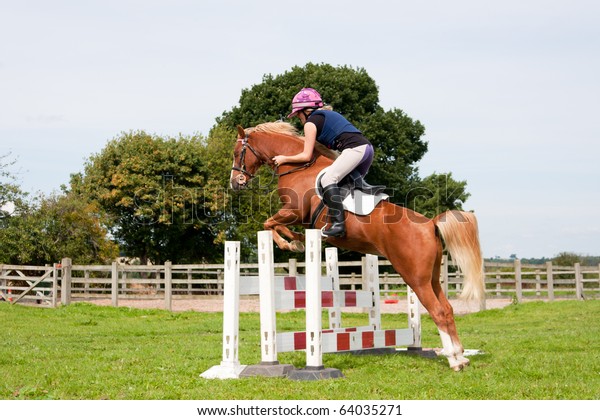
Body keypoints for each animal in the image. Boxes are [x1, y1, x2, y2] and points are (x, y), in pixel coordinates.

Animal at [227, 121, 486, 370]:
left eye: (237, 152)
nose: (235, 183)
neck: (298, 166)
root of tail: (430, 224)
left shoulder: (293, 211)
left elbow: (269, 222)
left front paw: (290, 244)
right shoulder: (296, 217)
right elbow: (277, 225)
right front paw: (298, 241)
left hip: (415, 278)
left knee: (438, 311)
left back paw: (453, 360)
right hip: (431, 277)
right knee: (448, 309)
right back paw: (461, 356)